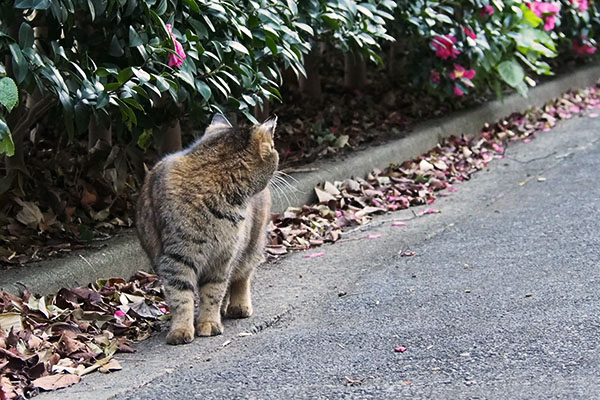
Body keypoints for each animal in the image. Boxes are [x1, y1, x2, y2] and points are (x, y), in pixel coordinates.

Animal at [136, 115, 278, 344]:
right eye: (273, 147)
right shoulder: (176, 260)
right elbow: (181, 297)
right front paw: (181, 330)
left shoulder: (223, 259)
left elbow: (213, 294)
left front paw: (209, 323)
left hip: (252, 246)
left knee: (242, 278)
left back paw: (239, 306)